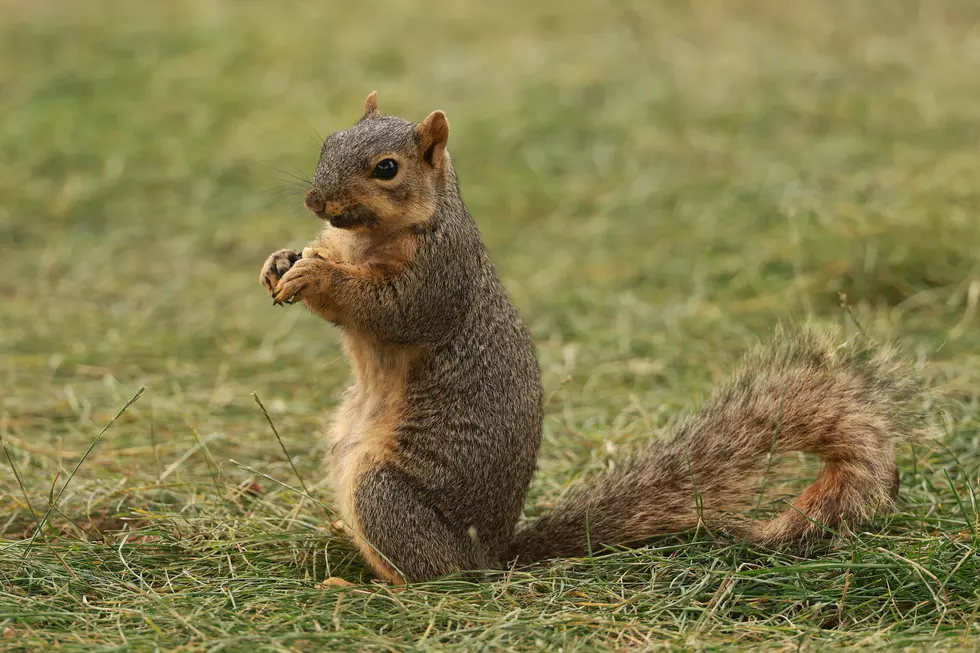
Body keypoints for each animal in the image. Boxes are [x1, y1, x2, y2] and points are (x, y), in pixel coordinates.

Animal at [258, 92, 926, 585]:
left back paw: (371, 588)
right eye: (328, 142)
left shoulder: (440, 277)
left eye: (387, 169)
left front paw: (316, 275)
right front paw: (281, 261)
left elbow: (391, 309)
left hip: (385, 494)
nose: (314, 199)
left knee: (430, 577)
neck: (366, 239)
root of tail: (491, 559)